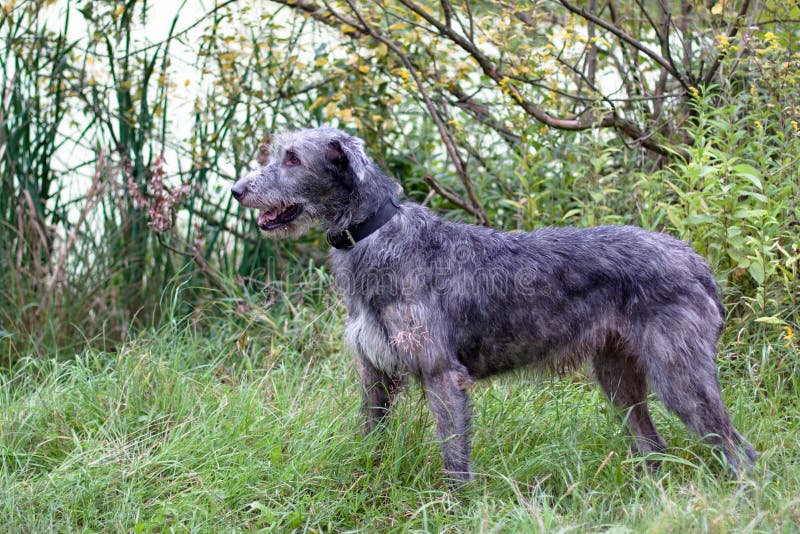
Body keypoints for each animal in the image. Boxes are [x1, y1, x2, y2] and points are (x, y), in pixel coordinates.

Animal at [230, 126, 756, 486]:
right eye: (276, 151)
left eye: (292, 158)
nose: (237, 190)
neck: (376, 234)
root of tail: (695, 260)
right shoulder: (375, 373)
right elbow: (371, 437)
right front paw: (365, 478)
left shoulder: (442, 375)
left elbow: (453, 457)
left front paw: (452, 508)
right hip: (618, 376)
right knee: (654, 445)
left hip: (680, 376)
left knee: (738, 449)